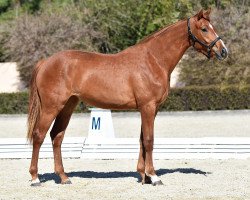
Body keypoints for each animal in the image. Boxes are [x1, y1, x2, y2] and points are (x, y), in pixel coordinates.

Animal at [27, 9, 229, 187]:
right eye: (204, 29)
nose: (223, 51)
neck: (153, 60)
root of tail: (45, 62)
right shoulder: (147, 107)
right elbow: (149, 140)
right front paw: (154, 177)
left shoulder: (151, 109)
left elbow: (142, 139)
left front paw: (144, 176)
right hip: (51, 107)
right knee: (39, 135)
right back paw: (35, 178)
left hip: (68, 106)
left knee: (57, 136)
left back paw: (64, 177)